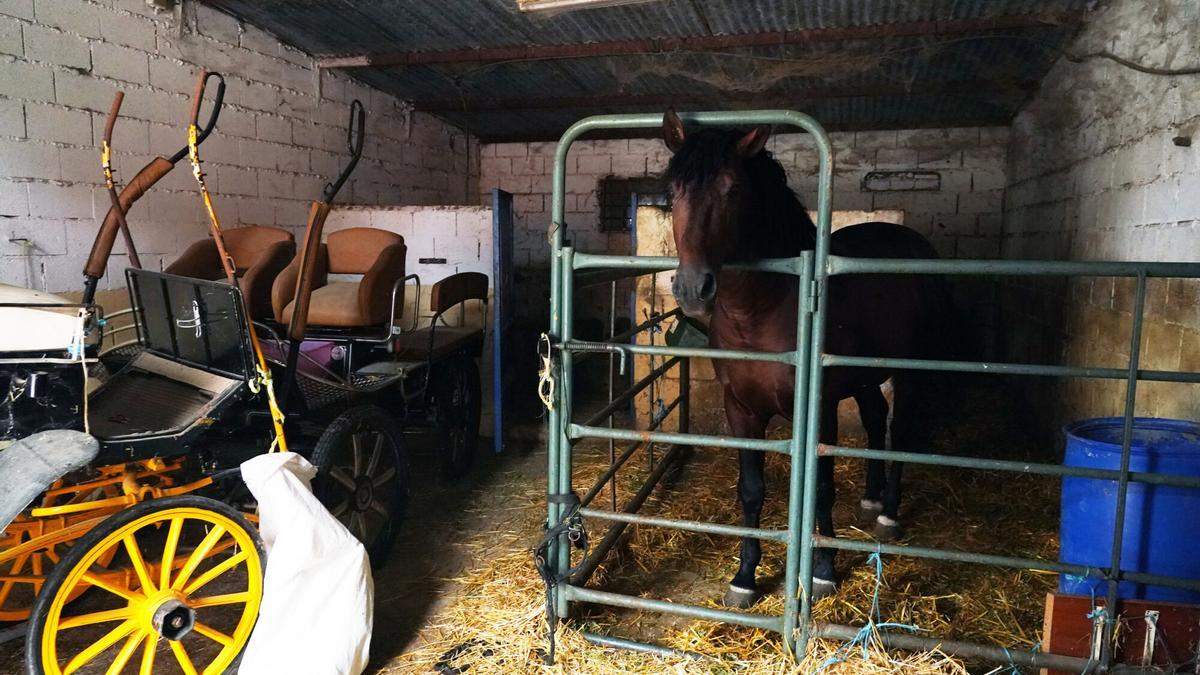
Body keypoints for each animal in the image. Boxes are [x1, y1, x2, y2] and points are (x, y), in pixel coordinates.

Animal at [660, 110, 948, 608]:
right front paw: (744, 578)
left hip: (909, 373)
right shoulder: (741, 409)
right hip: (863, 376)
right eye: (673, 191)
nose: (693, 289)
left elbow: (820, 487)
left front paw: (824, 572)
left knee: (900, 430)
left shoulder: (819, 408)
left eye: (731, 187)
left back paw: (888, 514)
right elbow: (751, 491)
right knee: (876, 418)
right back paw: (871, 499)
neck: (762, 309)